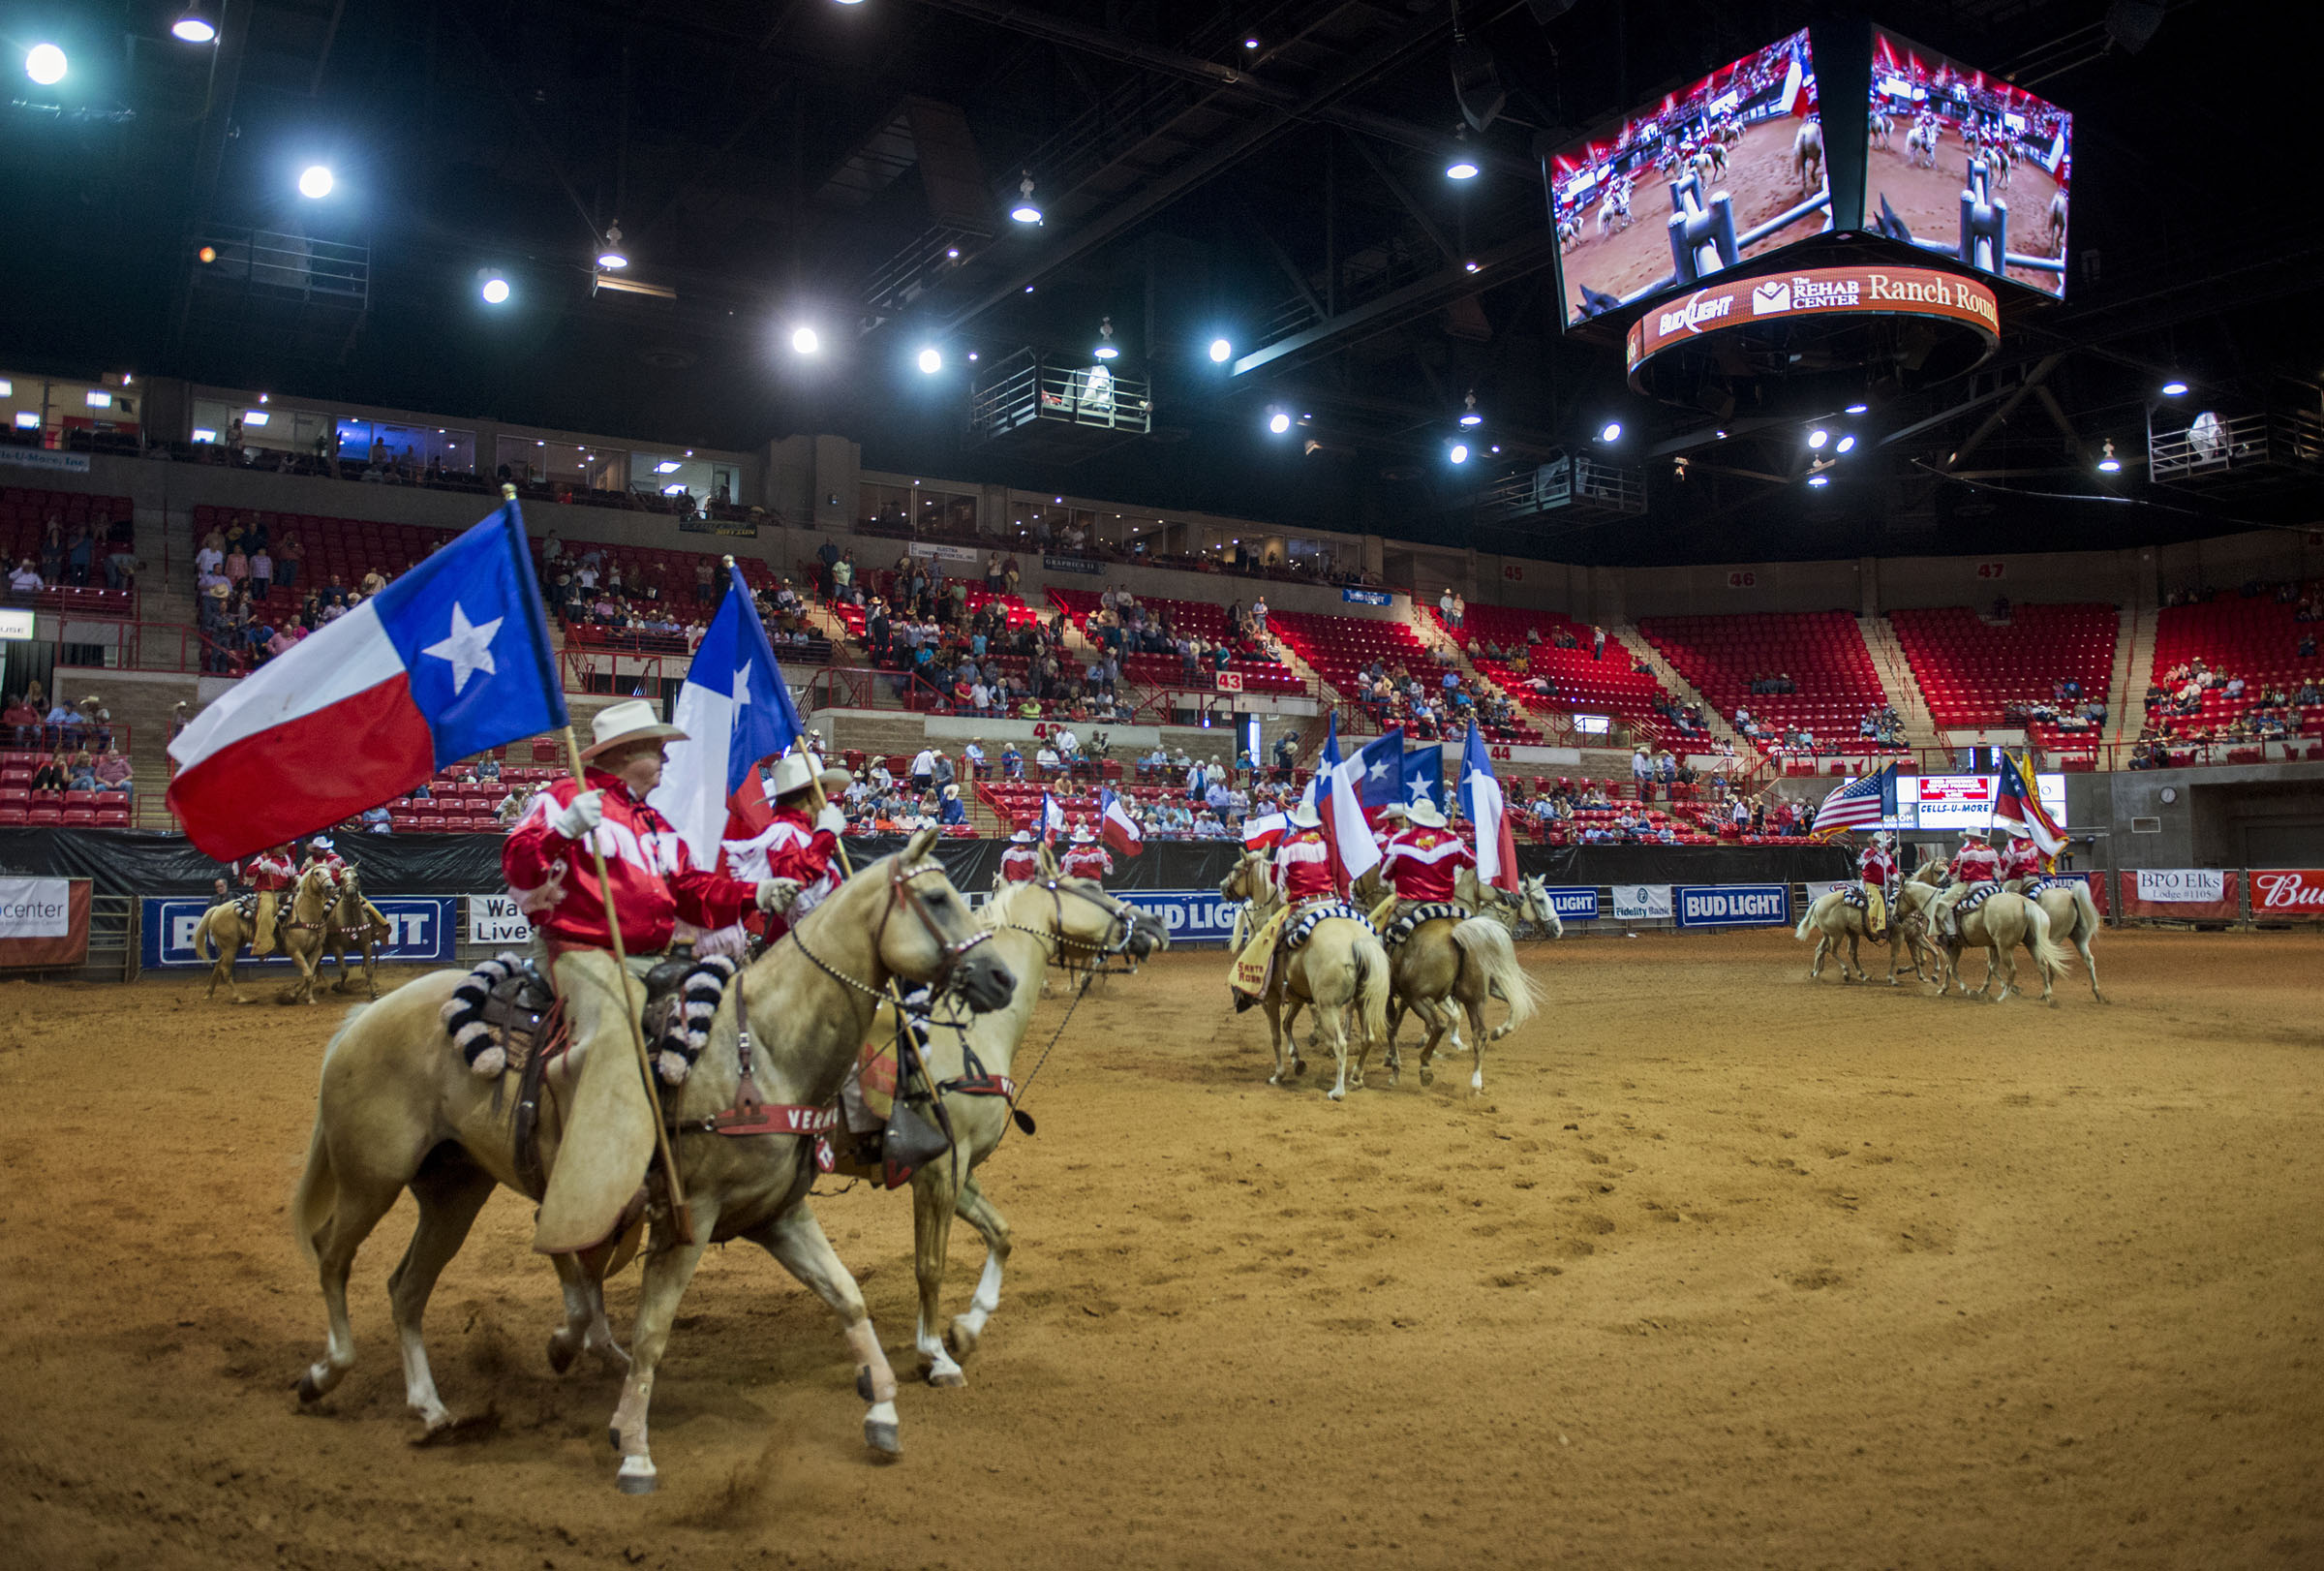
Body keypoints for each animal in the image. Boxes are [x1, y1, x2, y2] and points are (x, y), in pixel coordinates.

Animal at [290, 827, 1018, 1487]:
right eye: (935, 897)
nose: (1002, 976)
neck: (759, 1049)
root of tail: (363, 1019)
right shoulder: (690, 1219)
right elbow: (652, 1332)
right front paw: (634, 1447)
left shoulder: (777, 1215)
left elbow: (848, 1298)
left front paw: (884, 1412)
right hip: (371, 1178)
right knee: (332, 1256)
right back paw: (326, 1371)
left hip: (454, 1190)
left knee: (407, 1287)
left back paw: (432, 1406)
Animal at [864, 859, 1171, 1385]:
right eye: (1088, 885)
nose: (1156, 925)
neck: (965, 1032)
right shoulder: (938, 1171)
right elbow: (930, 1265)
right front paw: (935, 1355)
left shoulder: (960, 1169)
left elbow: (1001, 1234)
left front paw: (967, 1327)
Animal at [1227, 854, 1385, 1096]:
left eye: (1236, 868)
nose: (1222, 887)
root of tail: (1357, 941)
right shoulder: (1297, 995)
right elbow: (1287, 1024)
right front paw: (1297, 1060)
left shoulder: (1271, 999)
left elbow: (1276, 1035)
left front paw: (1279, 1074)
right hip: (1363, 1000)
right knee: (1368, 1037)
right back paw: (1356, 1077)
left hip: (1328, 1005)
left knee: (1341, 1043)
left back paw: (1338, 1090)